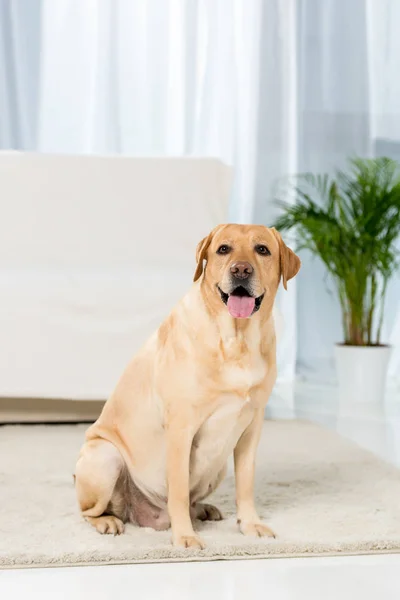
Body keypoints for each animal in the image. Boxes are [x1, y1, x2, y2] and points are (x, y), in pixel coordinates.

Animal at [75, 224, 300, 548]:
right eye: (223, 249)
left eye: (262, 250)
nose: (241, 270)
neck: (237, 340)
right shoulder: (181, 428)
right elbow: (179, 492)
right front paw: (185, 536)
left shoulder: (251, 428)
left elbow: (245, 484)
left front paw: (250, 524)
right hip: (105, 457)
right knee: (89, 511)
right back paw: (107, 521)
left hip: (217, 466)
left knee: (194, 500)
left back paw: (204, 509)